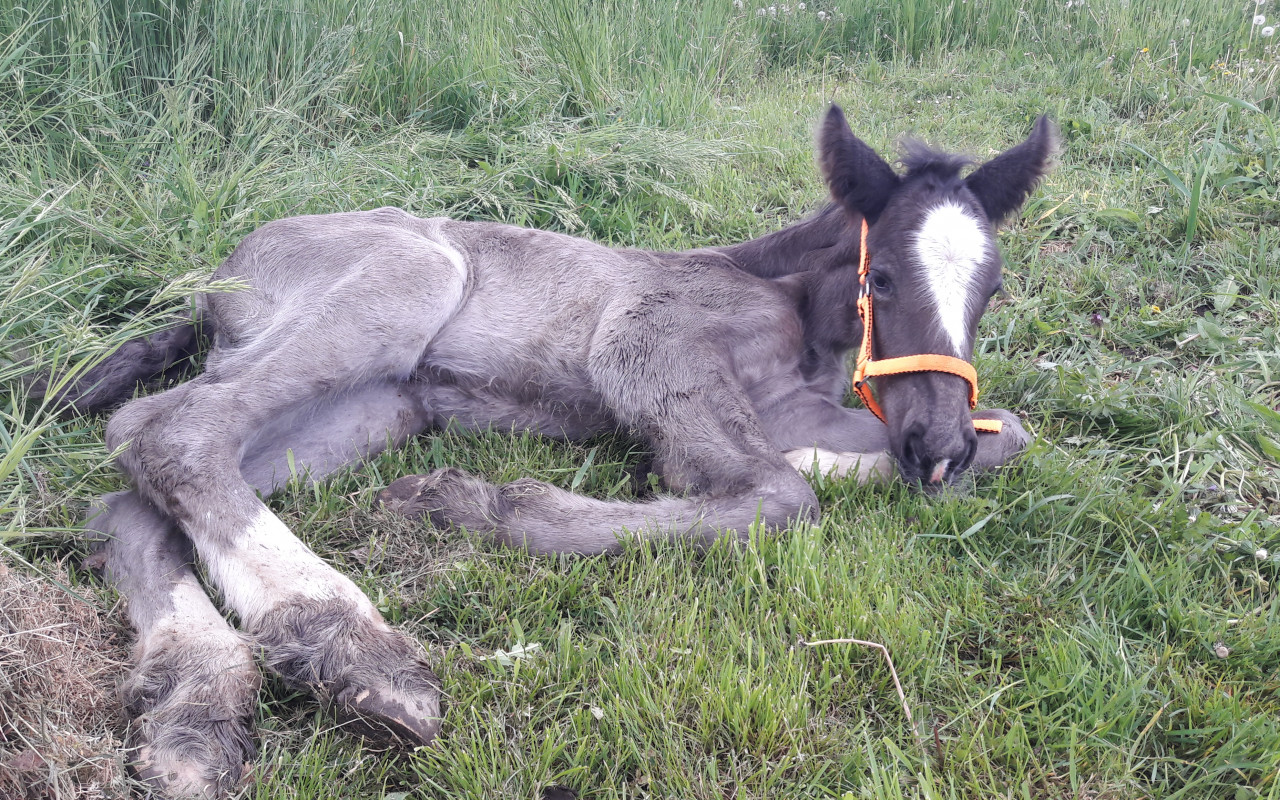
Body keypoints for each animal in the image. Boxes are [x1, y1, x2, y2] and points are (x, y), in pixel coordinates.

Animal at [62, 107, 1059, 798]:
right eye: (882, 276)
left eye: (994, 288)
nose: (936, 444)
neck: (789, 311)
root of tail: (218, 277)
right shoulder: (648, 342)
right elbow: (776, 496)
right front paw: (487, 505)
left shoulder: (795, 408)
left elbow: (1008, 433)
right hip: (400, 290)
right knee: (167, 430)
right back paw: (354, 651)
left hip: (372, 405)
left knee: (137, 497)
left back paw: (194, 712)